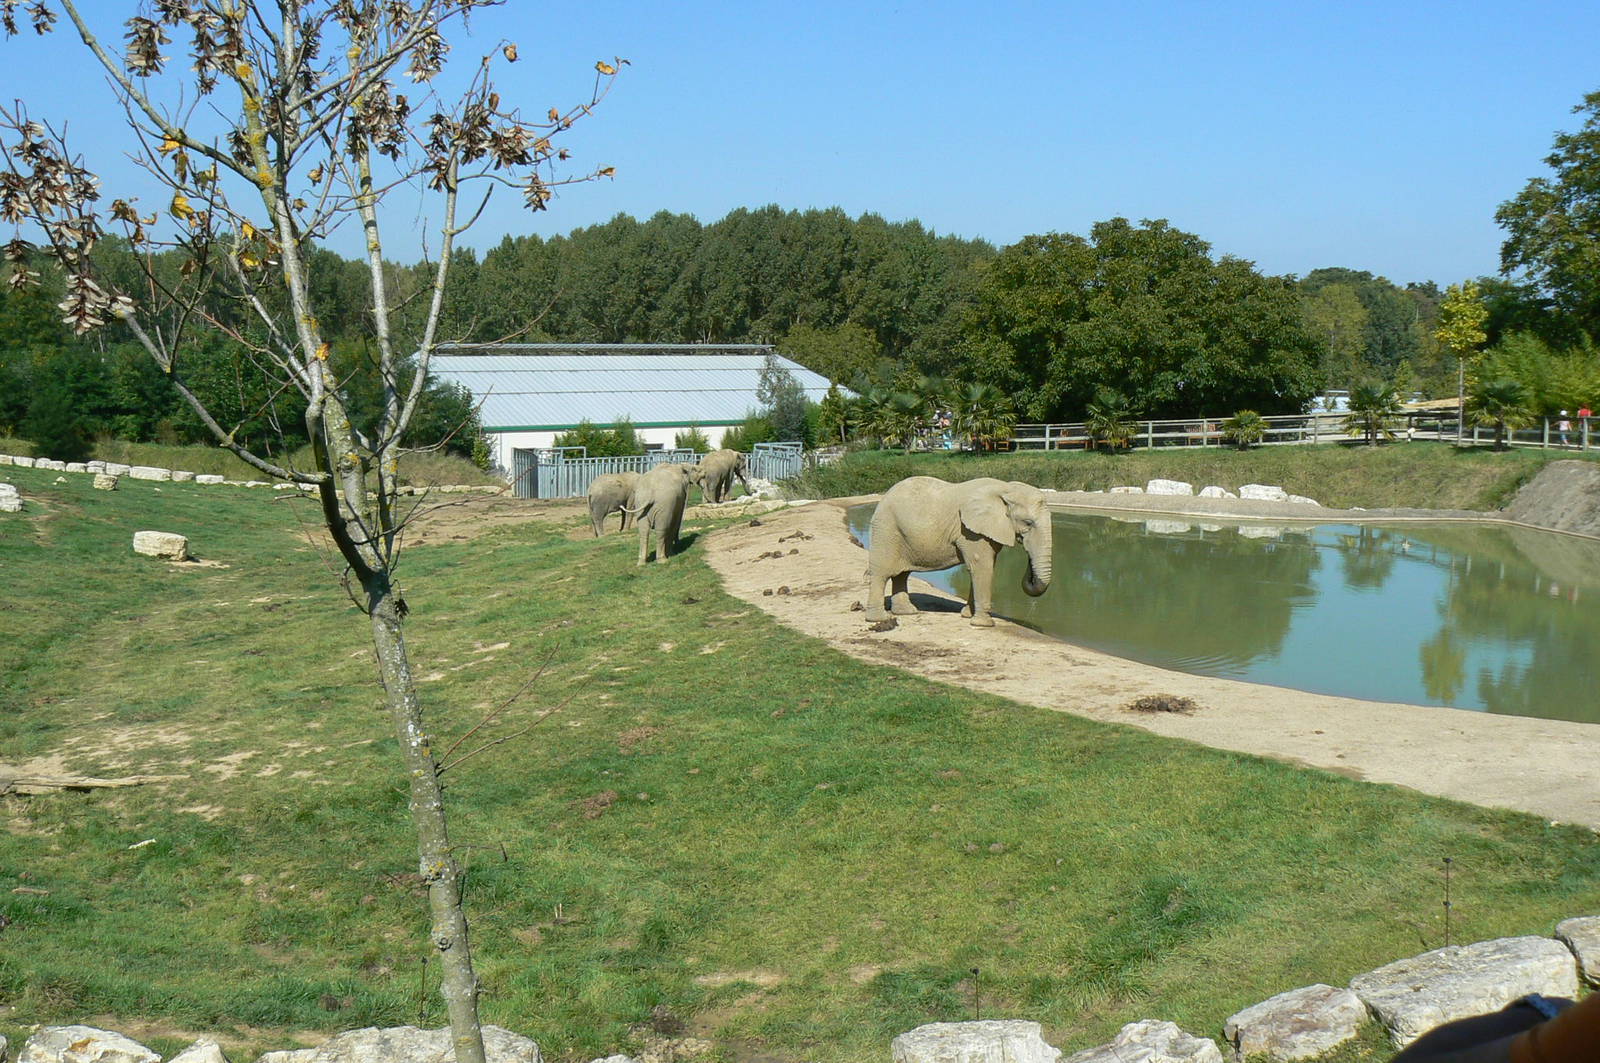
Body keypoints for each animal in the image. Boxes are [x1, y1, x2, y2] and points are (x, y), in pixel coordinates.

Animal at [863, 476, 1053, 627]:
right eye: (1028, 523)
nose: (1025, 547)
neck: (1005, 488)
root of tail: (883, 497)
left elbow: (980, 568)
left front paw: (967, 616)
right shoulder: (971, 531)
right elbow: (982, 567)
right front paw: (984, 624)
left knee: (902, 574)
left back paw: (907, 612)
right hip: (886, 529)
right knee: (881, 573)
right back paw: (879, 619)